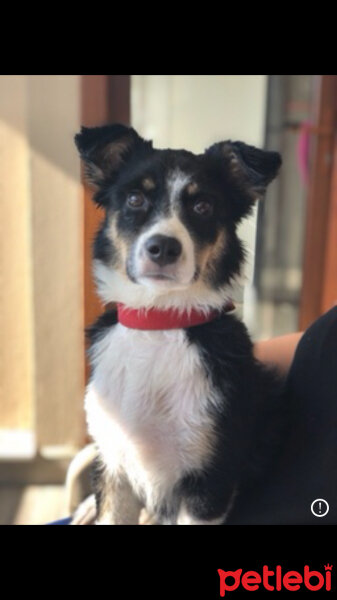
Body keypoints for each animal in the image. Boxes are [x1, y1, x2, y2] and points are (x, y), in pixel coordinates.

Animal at [73, 123, 284, 524]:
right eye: (135, 199)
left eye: (203, 206)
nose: (163, 248)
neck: (160, 321)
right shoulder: (112, 466)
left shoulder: (210, 479)